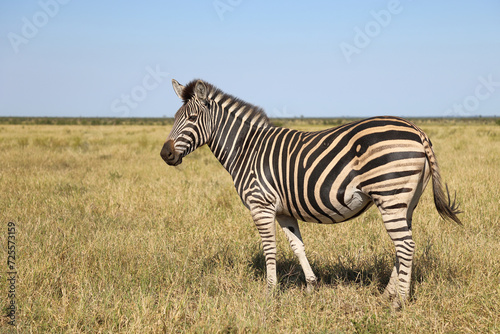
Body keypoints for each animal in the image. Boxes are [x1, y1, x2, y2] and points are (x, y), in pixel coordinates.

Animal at [160, 78, 460, 308]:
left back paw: (399, 301)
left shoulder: (261, 205)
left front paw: (270, 292)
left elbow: (270, 248)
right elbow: (297, 246)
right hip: (405, 201)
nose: (165, 154)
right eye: (173, 119)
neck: (246, 148)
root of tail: (418, 131)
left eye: (192, 118)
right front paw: (311, 286)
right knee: (401, 246)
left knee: (405, 246)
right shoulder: (283, 210)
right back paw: (387, 294)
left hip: (391, 195)